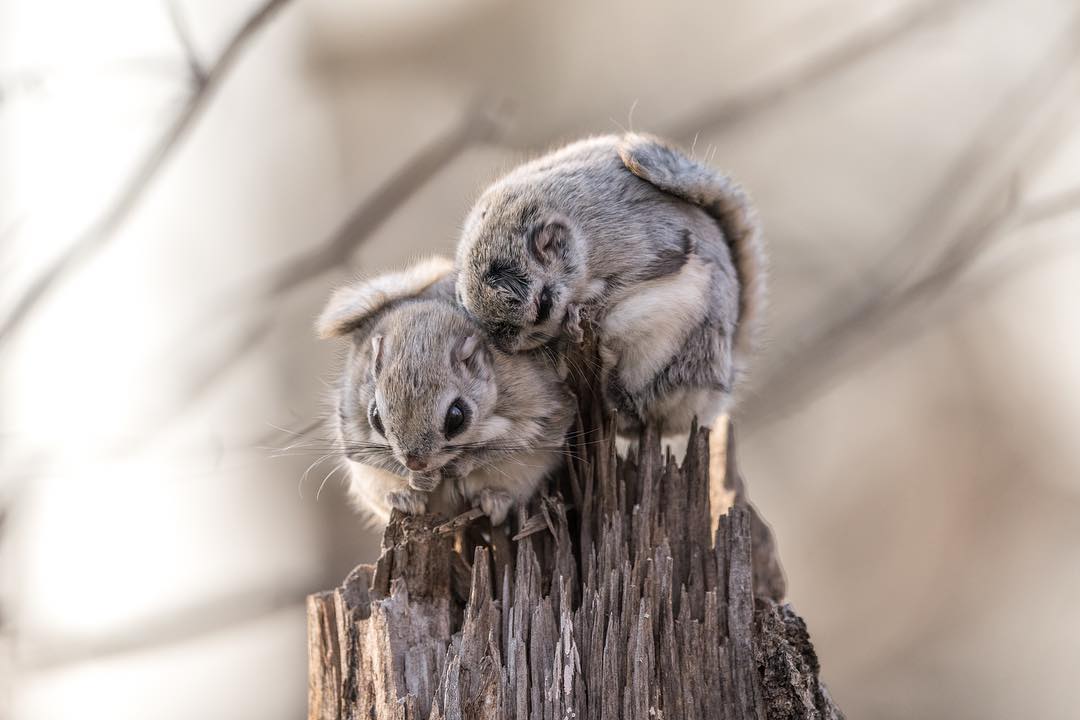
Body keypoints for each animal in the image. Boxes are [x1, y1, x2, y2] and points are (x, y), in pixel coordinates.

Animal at [315, 255, 578, 520]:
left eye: (456, 417)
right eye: (375, 417)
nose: (415, 463)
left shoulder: (543, 402)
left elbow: (527, 437)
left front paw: (461, 465)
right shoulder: (351, 420)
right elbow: (365, 454)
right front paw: (418, 479)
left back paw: (494, 500)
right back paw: (404, 498)